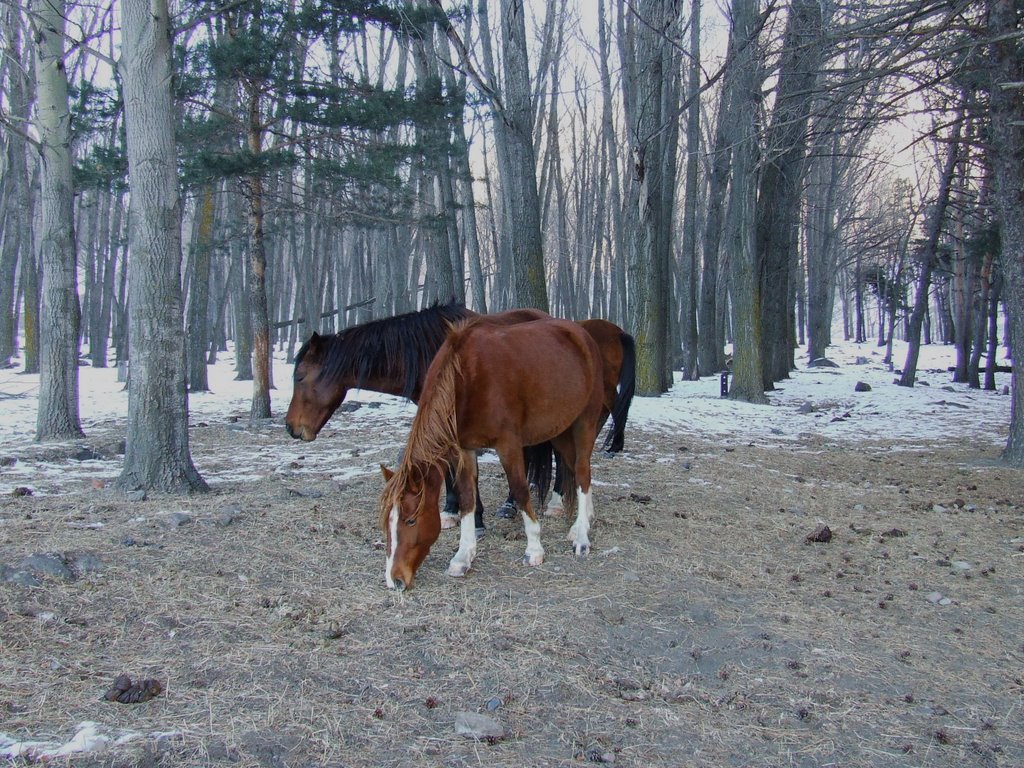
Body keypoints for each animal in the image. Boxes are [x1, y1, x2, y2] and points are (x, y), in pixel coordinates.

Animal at [282, 303, 630, 532]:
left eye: (299, 376)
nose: (292, 428)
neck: (429, 351)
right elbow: (451, 466)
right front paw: (452, 510)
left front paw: (474, 519)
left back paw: (554, 502)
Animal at [385, 315, 606, 593]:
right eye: (387, 522)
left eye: (411, 520)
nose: (395, 580)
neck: (465, 379)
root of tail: (582, 334)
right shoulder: (464, 448)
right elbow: (467, 498)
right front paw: (463, 556)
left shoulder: (508, 444)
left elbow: (520, 490)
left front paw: (534, 548)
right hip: (560, 428)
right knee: (575, 469)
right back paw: (582, 522)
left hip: (584, 421)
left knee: (583, 471)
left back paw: (582, 538)